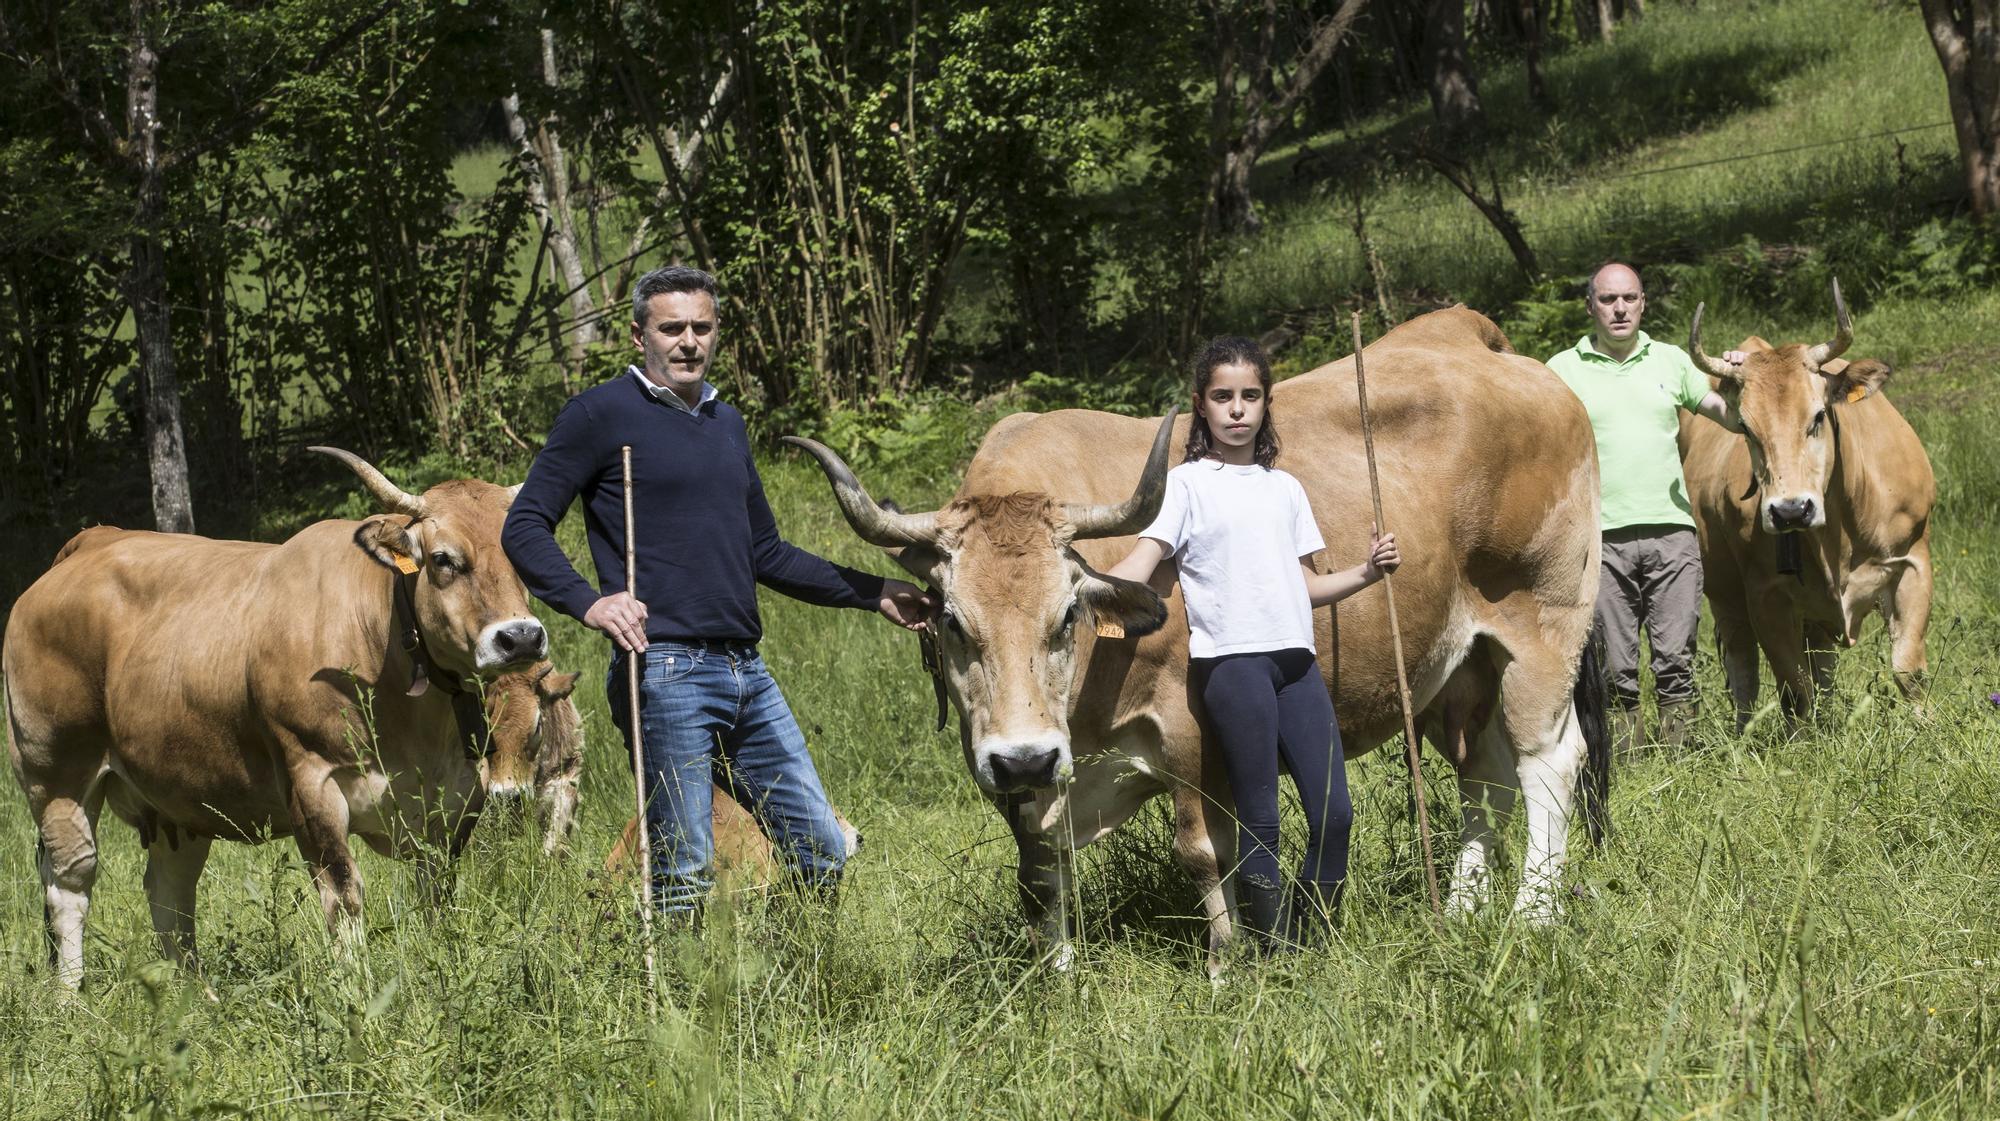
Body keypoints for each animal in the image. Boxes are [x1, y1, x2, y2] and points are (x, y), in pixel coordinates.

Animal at [1, 448, 548, 988]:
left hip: (175, 796)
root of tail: (91, 541)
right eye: (442, 559)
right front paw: (358, 988)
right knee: (69, 886)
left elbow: (436, 892)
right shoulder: (311, 784)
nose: (520, 637)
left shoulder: (460, 792)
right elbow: (344, 894)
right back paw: (71, 999)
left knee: (169, 891)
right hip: (56, 775)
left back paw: (197, 996)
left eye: (522, 557)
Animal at [788, 308, 1600, 972]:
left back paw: (1534, 912)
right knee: (1483, 773)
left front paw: (1225, 962)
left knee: (1548, 762)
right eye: (953, 621)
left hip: (1544, 623)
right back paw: (1463, 908)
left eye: (1067, 614)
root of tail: (1474, 341)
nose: (1025, 756)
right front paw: (1057, 980)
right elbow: (1041, 866)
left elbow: (1206, 850)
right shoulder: (1007, 763)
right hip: (1456, 667)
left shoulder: (1187, 729)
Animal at [1672, 284, 1936, 728]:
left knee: (1822, 664)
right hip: (1724, 594)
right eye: (1745, 428)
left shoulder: (1913, 563)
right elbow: (1794, 690)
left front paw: (1925, 729)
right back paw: (1744, 733)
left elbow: (1908, 670)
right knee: (1743, 667)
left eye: (1817, 416)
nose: (1791, 511)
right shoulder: (1764, 595)